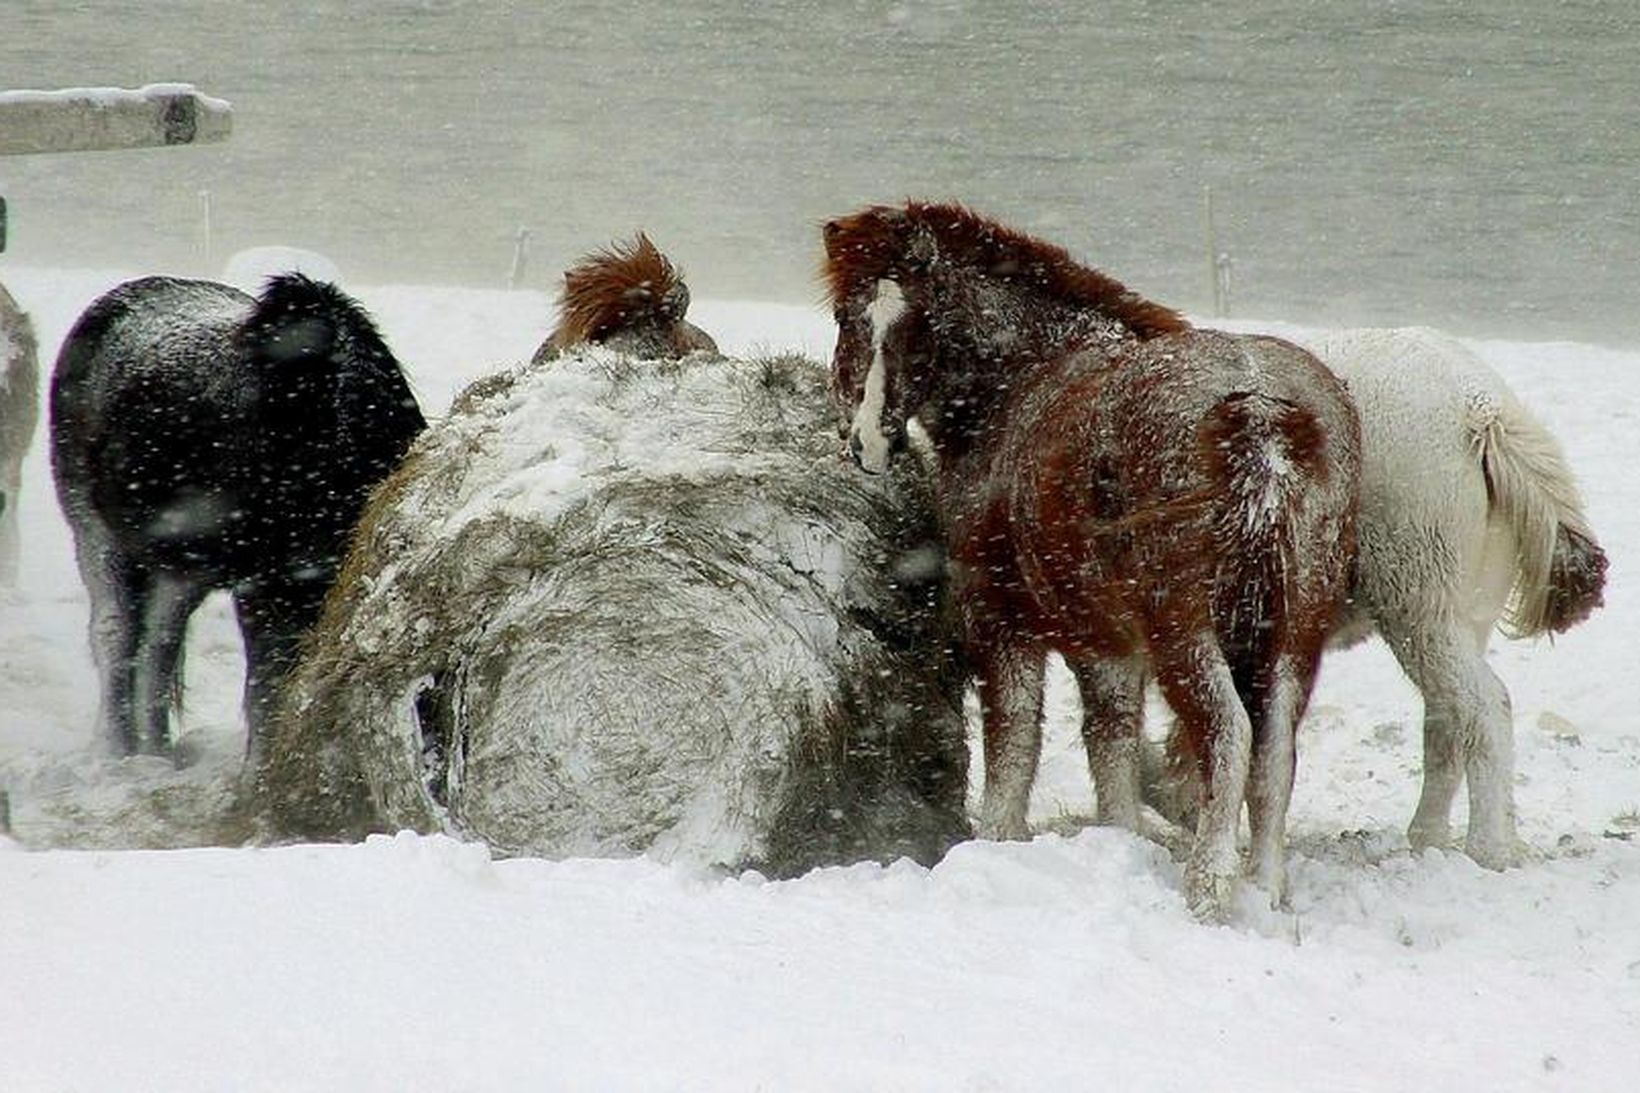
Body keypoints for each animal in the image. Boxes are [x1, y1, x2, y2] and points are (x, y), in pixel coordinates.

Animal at [51, 272, 426, 758]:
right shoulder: (264, 586)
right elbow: (267, 687)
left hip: (178, 569)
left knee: (158, 644)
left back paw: (157, 754)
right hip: (94, 533)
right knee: (114, 634)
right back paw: (118, 751)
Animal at [820, 200, 1357, 912]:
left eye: (919, 324)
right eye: (849, 316)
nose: (869, 442)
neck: (1019, 384)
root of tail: (1262, 414)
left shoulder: (1003, 625)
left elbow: (1015, 743)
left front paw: (998, 839)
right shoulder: (1105, 646)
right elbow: (1114, 750)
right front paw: (1122, 834)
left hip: (1186, 631)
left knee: (1228, 734)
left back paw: (1210, 885)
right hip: (1292, 635)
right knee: (1273, 755)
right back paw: (1265, 893)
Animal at [1154, 328, 1600, 866]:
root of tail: (1485, 412)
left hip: (1419, 592)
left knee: (1483, 706)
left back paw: (1489, 846)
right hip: (1463, 607)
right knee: (1446, 715)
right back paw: (1429, 836)